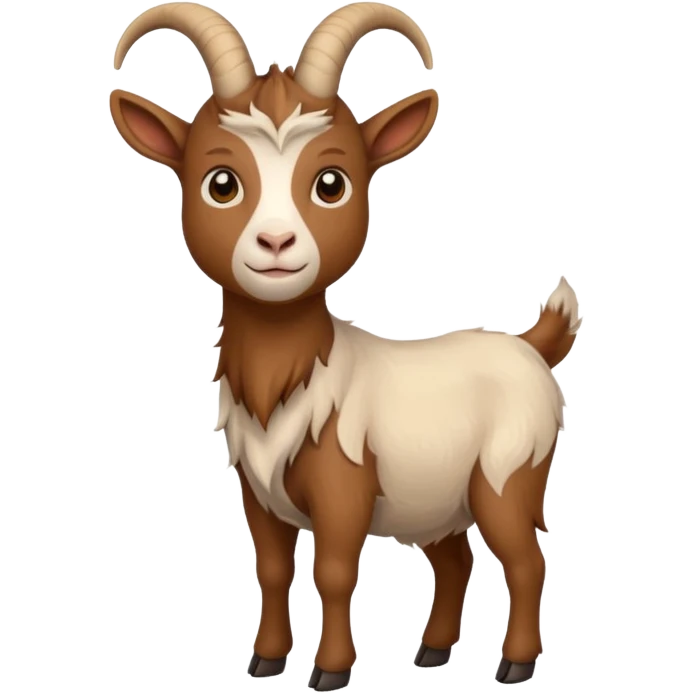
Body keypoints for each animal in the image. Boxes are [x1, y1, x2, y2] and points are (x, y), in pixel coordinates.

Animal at [110, 2, 582, 690]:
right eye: (220, 182)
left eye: (331, 182)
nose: (276, 244)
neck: (293, 381)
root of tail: (530, 345)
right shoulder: (259, 495)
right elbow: (273, 571)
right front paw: (265, 660)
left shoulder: (343, 490)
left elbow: (332, 573)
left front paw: (329, 671)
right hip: (433, 496)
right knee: (455, 559)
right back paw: (432, 652)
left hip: (506, 474)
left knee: (525, 560)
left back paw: (516, 663)